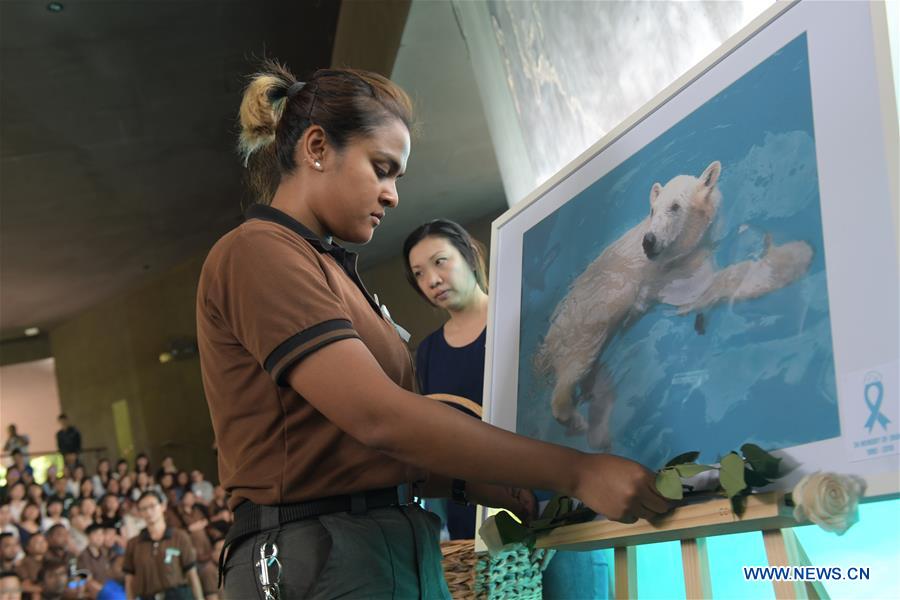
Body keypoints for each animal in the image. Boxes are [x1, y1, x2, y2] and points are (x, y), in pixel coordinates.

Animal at [536, 162, 816, 448]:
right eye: (652, 209)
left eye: (675, 206)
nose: (649, 240)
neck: (687, 243)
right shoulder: (669, 271)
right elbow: (702, 289)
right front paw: (793, 256)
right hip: (584, 326)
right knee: (576, 365)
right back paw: (570, 415)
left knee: (597, 380)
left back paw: (599, 430)